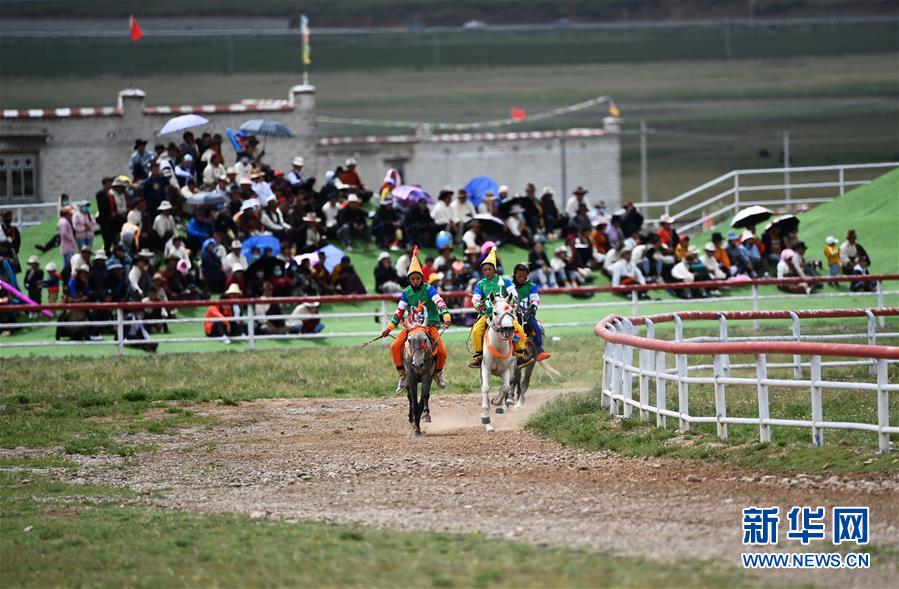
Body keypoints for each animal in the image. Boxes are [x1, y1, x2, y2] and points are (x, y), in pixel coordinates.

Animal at [403, 306, 436, 436]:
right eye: (409, 340)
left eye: (425, 339)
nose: (417, 364)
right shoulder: (411, 377)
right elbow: (413, 398)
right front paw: (416, 428)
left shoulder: (427, 375)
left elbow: (424, 396)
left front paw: (420, 423)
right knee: (409, 398)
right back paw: (411, 419)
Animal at [479, 292, 518, 432]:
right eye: (495, 312)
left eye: (511, 310)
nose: (508, 328)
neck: (498, 347)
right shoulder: (485, 367)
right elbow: (485, 388)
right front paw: (487, 421)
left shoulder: (506, 369)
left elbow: (506, 387)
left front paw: (496, 401)